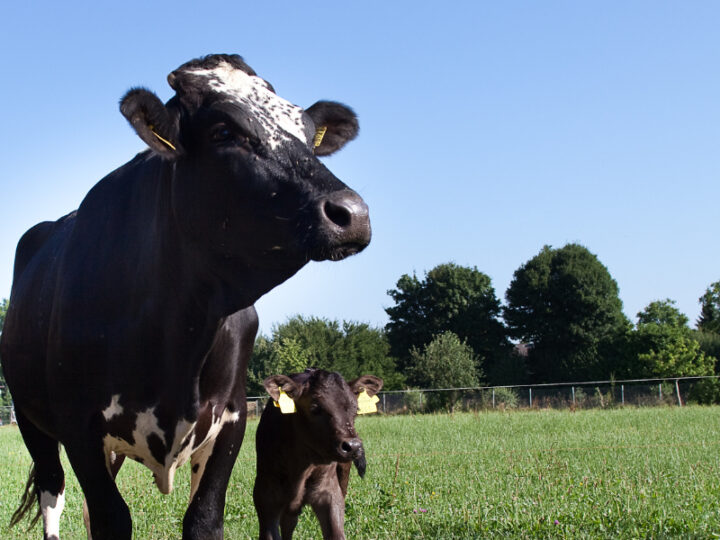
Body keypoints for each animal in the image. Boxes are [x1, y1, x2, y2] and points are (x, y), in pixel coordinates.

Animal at [253, 369, 383, 540]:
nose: (353, 446)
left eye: (356, 410)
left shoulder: (329, 492)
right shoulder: (265, 495)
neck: (299, 468)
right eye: (315, 408)